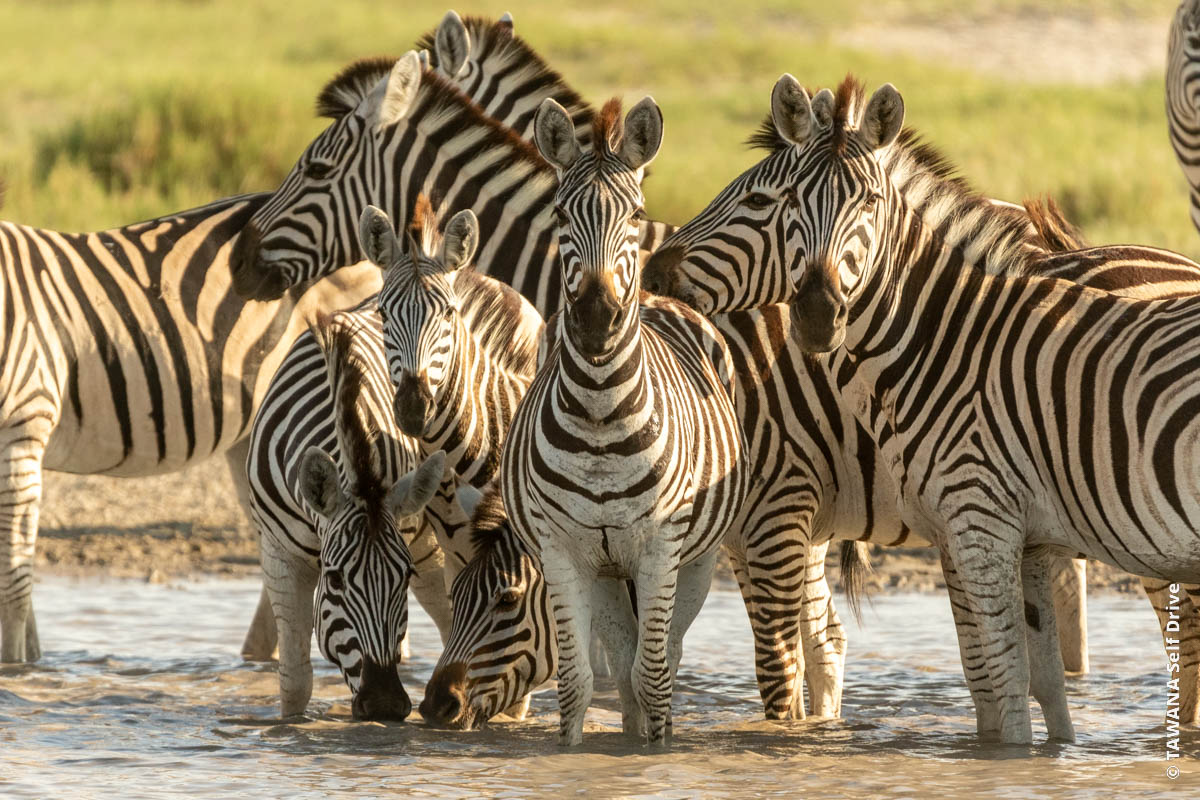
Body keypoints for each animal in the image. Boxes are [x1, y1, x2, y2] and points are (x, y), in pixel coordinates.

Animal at [248, 195, 540, 719]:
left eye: (398, 578)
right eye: (335, 581)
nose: (385, 704)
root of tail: (481, 276)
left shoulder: (408, 542)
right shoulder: (279, 552)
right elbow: (295, 681)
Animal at [499, 97, 744, 748]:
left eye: (634, 214)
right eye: (561, 213)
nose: (595, 318)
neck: (600, 420)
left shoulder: (661, 546)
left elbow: (654, 676)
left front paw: (653, 755)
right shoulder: (560, 550)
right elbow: (577, 685)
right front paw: (579, 754)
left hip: (697, 559)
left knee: (661, 658)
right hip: (606, 569)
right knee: (624, 653)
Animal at [648, 74, 1200, 743]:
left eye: (759, 200)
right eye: (786, 201)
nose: (817, 313)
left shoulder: (789, 508)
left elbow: (786, 674)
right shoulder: (995, 533)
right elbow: (1003, 680)